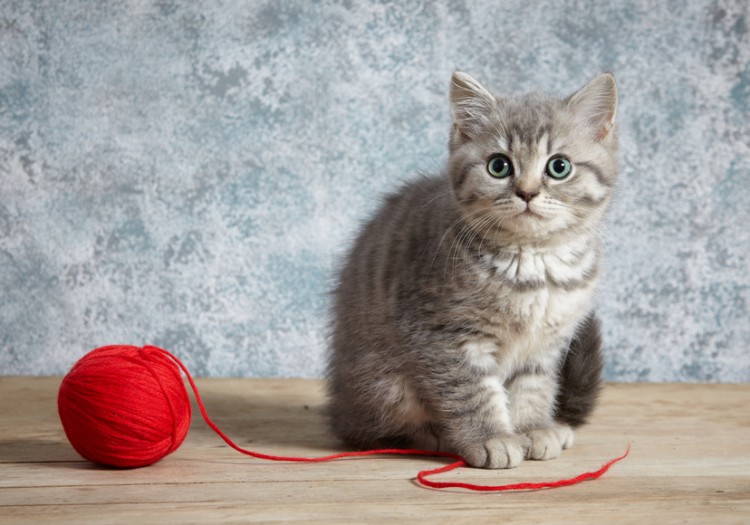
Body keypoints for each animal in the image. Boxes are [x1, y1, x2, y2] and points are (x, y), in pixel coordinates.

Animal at [328, 71, 616, 468]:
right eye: (499, 166)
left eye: (559, 167)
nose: (527, 192)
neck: (533, 261)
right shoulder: (444, 334)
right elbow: (472, 389)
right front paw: (491, 438)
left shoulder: (546, 344)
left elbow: (534, 385)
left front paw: (532, 428)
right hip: (384, 384)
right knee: (371, 431)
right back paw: (433, 436)